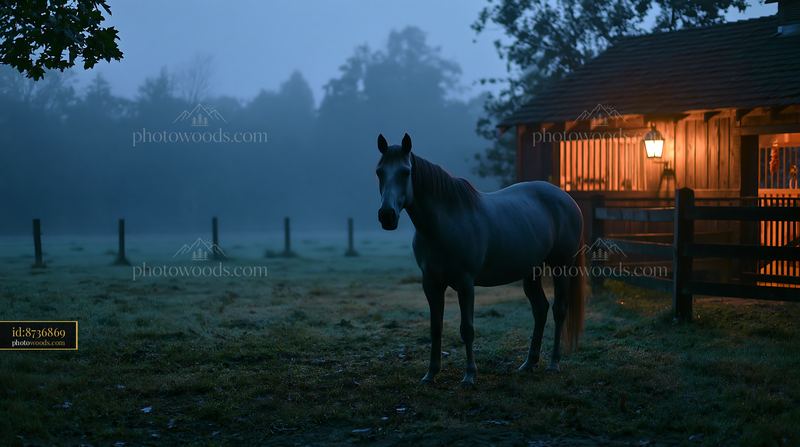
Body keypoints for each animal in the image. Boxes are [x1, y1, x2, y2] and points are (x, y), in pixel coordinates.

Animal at [375, 133, 586, 386]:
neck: (446, 223)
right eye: (379, 172)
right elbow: (435, 328)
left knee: (559, 310)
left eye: (405, 172)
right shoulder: (431, 283)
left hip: (561, 267)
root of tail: (567, 199)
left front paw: (469, 375)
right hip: (531, 271)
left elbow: (467, 329)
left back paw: (554, 363)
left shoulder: (465, 283)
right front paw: (431, 374)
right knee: (540, 309)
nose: (387, 216)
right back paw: (528, 363)